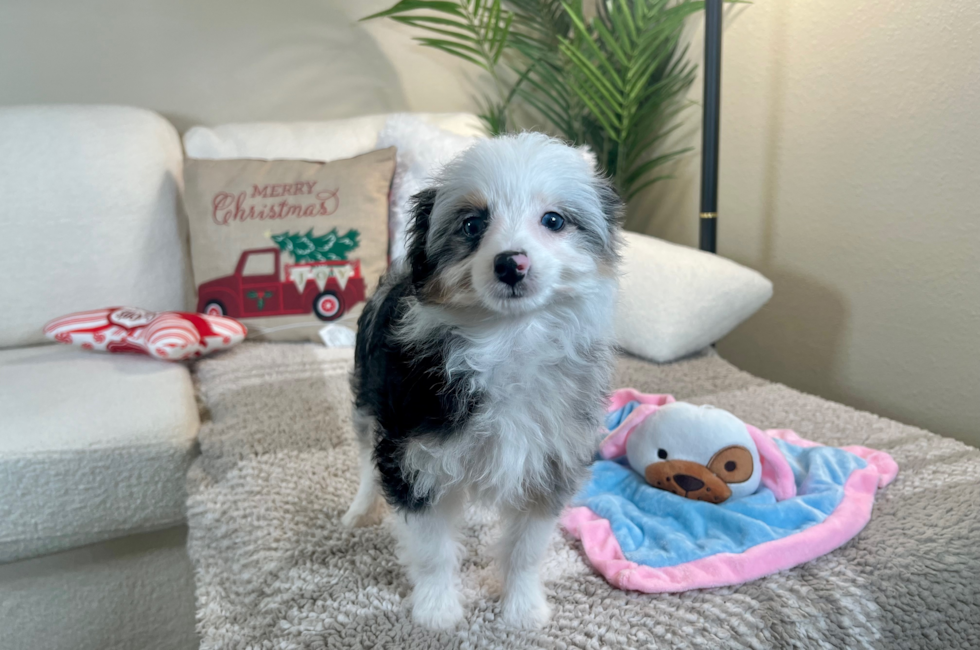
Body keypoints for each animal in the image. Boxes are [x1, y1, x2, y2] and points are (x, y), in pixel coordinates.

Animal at [344, 132, 620, 628]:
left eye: (554, 220)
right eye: (473, 225)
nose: (511, 264)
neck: (508, 339)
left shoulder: (552, 461)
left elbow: (525, 549)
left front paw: (522, 609)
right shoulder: (412, 454)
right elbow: (432, 549)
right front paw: (436, 612)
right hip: (366, 402)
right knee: (363, 461)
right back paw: (359, 511)